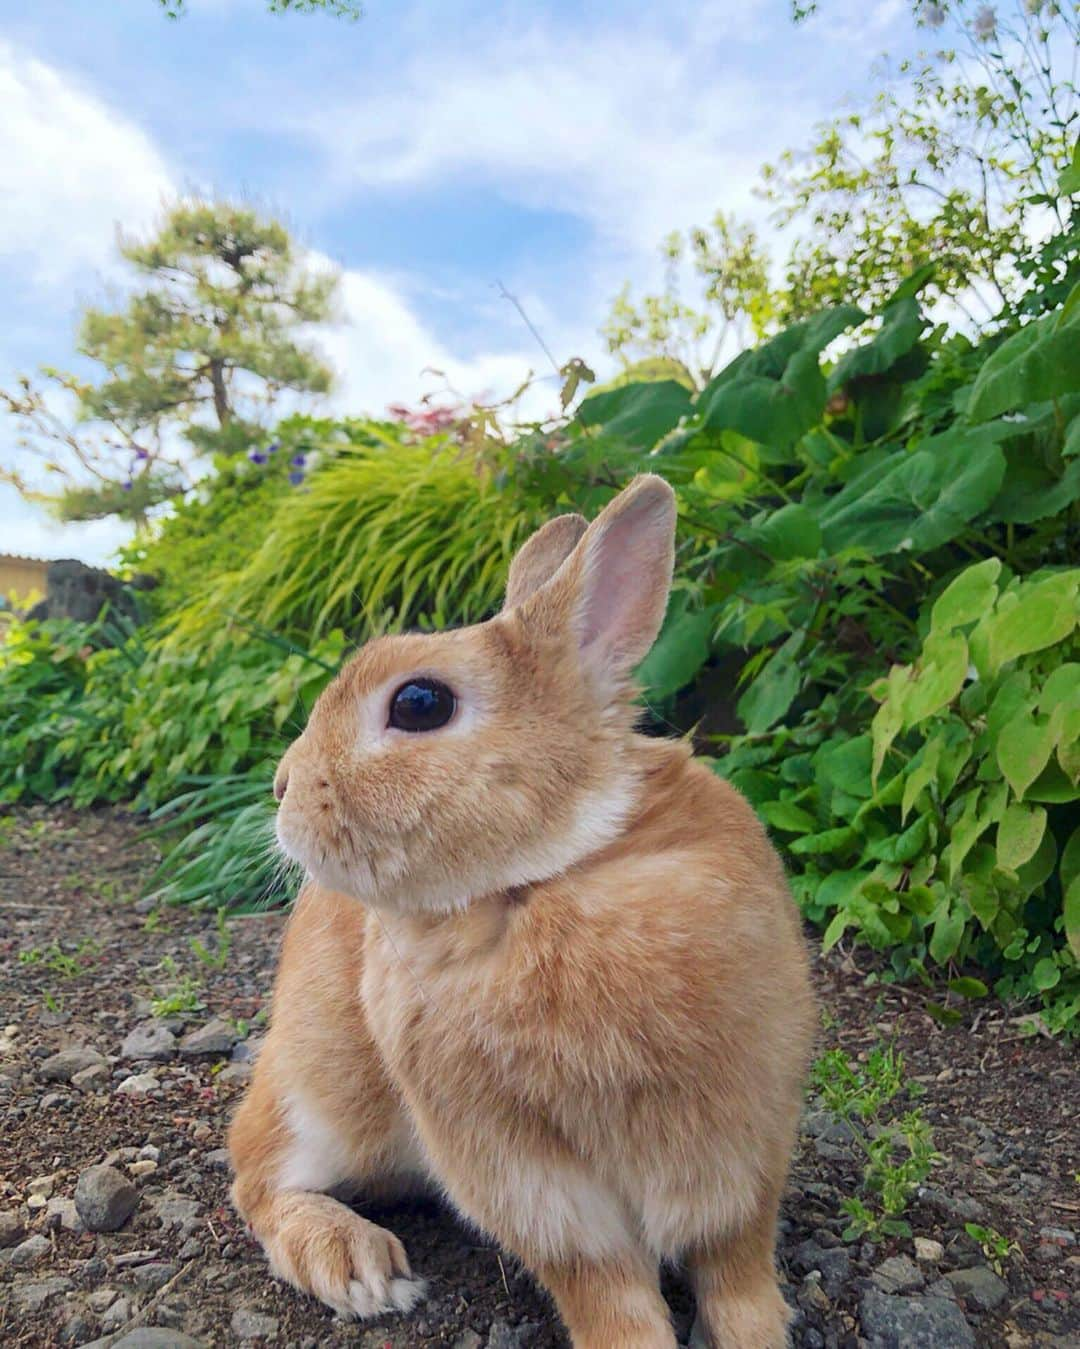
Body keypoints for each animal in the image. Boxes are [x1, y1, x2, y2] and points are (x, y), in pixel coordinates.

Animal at [229, 469, 819, 1343]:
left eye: (419, 703)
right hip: (322, 1092)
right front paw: (634, 1338)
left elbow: (736, 1261)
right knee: (257, 1172)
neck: (541, 877)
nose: (281, 787)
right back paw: (355, 1264)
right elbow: (602, 1281)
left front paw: (754, 1333)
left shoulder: (743, 1134)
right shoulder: (523, 1168)